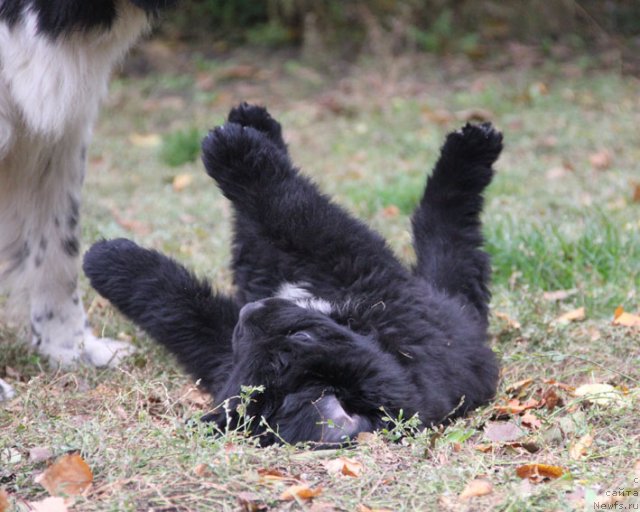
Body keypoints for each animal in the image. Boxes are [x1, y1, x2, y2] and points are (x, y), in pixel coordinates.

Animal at [84, 105, 500, 448]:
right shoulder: (223, 351)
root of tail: (474, 336)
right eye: (249, 347)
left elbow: (297, 212)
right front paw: (108, 259)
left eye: (301, 337)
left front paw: (104, 257)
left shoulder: (362, 271)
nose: (251, 312)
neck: (384, 343)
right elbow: (175, 306)